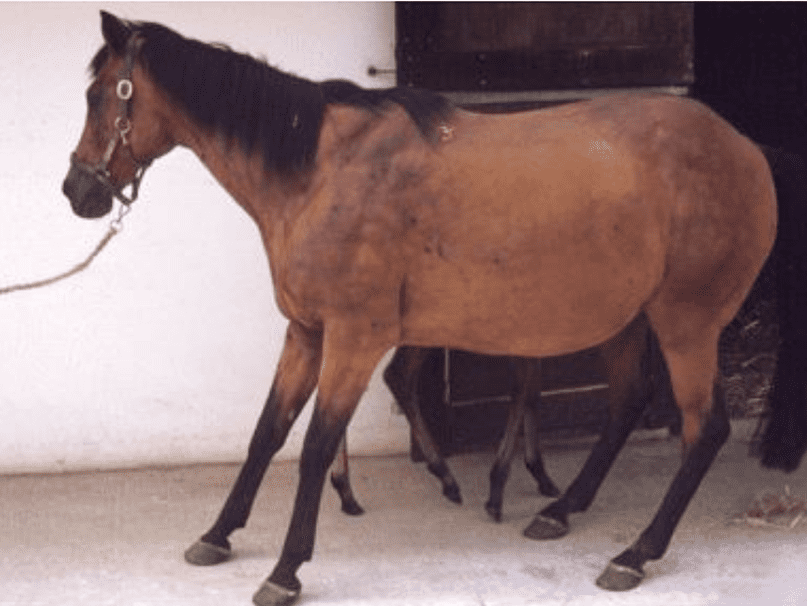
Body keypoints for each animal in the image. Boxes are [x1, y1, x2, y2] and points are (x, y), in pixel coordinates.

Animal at [62, 12, 780, 605]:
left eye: (99, 97)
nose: (77, 191)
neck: (320, 171)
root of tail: (747, 149)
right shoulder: (306, 332)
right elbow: (268, 432)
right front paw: (219, 534)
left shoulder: (354, 339)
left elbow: (317, 445)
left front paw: (286, 570)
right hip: (628, 318)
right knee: (628, 403)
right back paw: (559, 511)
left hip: (687, 323)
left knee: (704, 429)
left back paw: (635, 553)